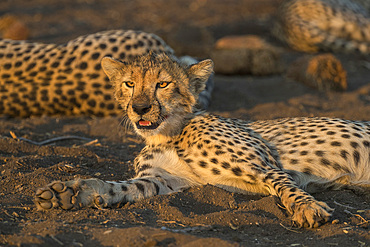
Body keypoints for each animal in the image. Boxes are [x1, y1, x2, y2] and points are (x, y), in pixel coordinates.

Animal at [35, 52, 370, 228]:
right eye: (130, 84)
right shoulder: (167, 181)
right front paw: (72, 193)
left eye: (163, 84)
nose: (139, 108)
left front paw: (307, 208)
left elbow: (287, 187)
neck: (168, 134)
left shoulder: (265, 167)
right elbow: (120, 187)